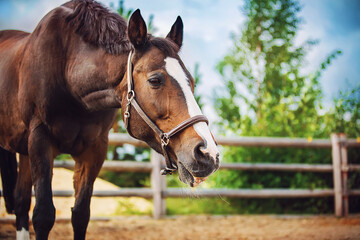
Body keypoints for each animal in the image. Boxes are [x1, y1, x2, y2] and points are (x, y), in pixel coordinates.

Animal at [0, 0, 219, 239]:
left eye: (192, 81)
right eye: (155, 80)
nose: (208, 154)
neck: (68, 74)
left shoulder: (94, 149)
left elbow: (80, 215)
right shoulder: (40, 141)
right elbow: (43, 215)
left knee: (21, 201)